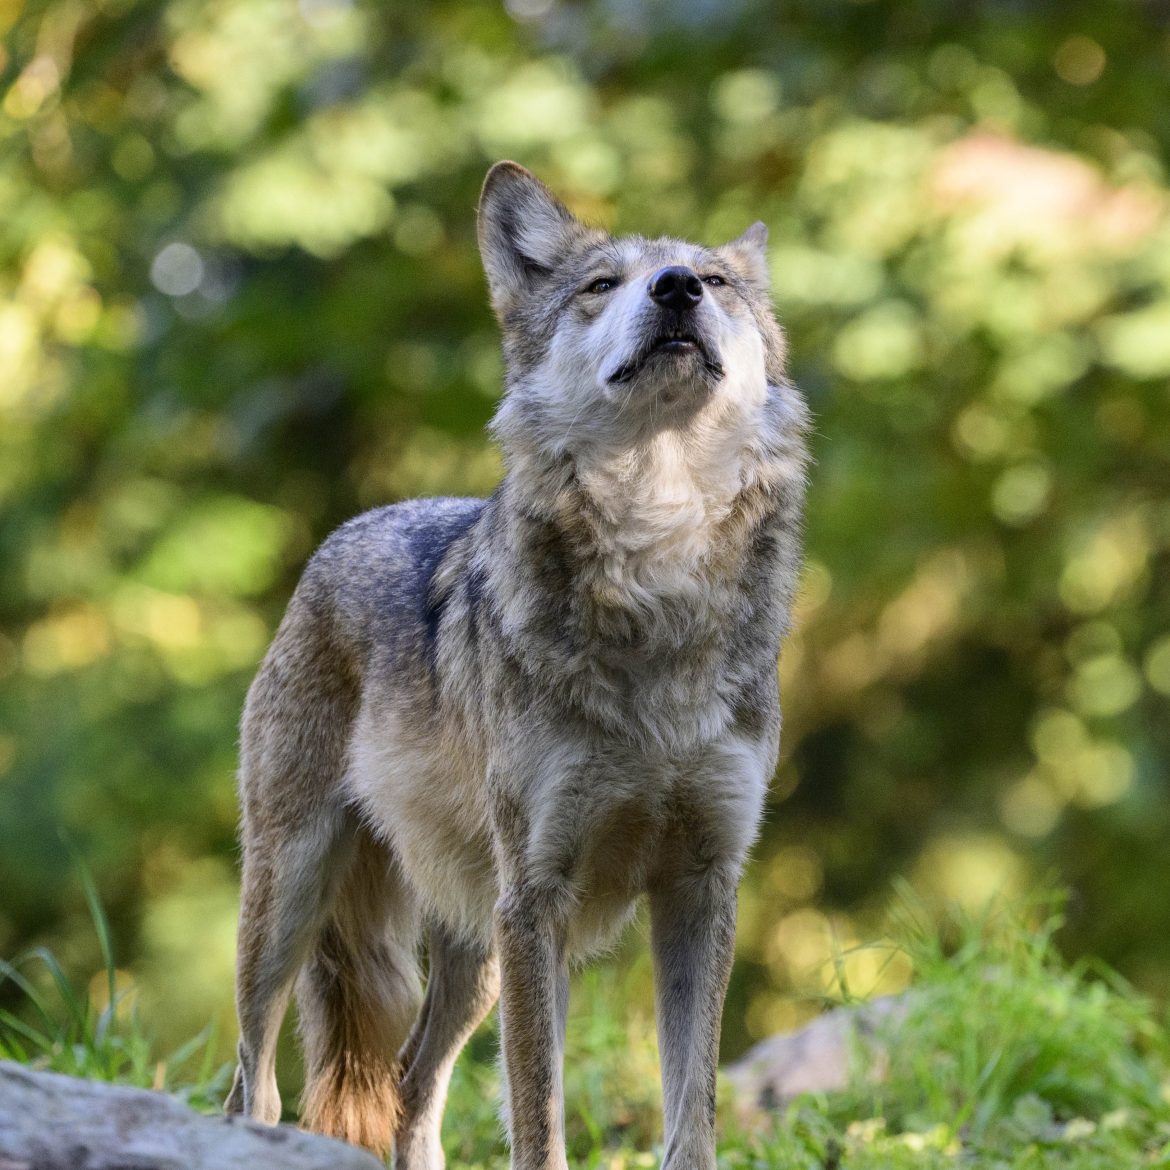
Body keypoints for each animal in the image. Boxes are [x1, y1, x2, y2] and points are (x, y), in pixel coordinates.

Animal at [224, 161, 810, 1170]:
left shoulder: (700, 887)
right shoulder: (538, 899)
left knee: (411, 1084)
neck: (661, 561)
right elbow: (539, 1117)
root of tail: (340, 536)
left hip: (476, 953)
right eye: (601, 285)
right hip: (298, 893)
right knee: (254, 1082)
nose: (676, 290)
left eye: (713, 280)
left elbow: (690, 1113)